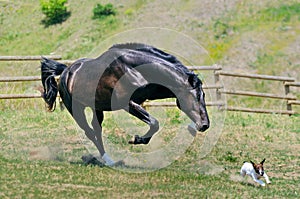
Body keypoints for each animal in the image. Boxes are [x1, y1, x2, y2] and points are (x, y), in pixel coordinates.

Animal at [41, 43, 210, 166]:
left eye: (203, 95)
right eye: (195, 96)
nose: (205, 125)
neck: (134, 68)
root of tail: (66, 71)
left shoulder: (152, 93)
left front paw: (191, 127)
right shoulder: (127, 103)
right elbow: (154, 123)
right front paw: (136, 139)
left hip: (97, 108)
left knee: (96, 130)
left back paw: (109, 160)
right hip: (76, 109)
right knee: (89, 132)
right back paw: (106, 160)